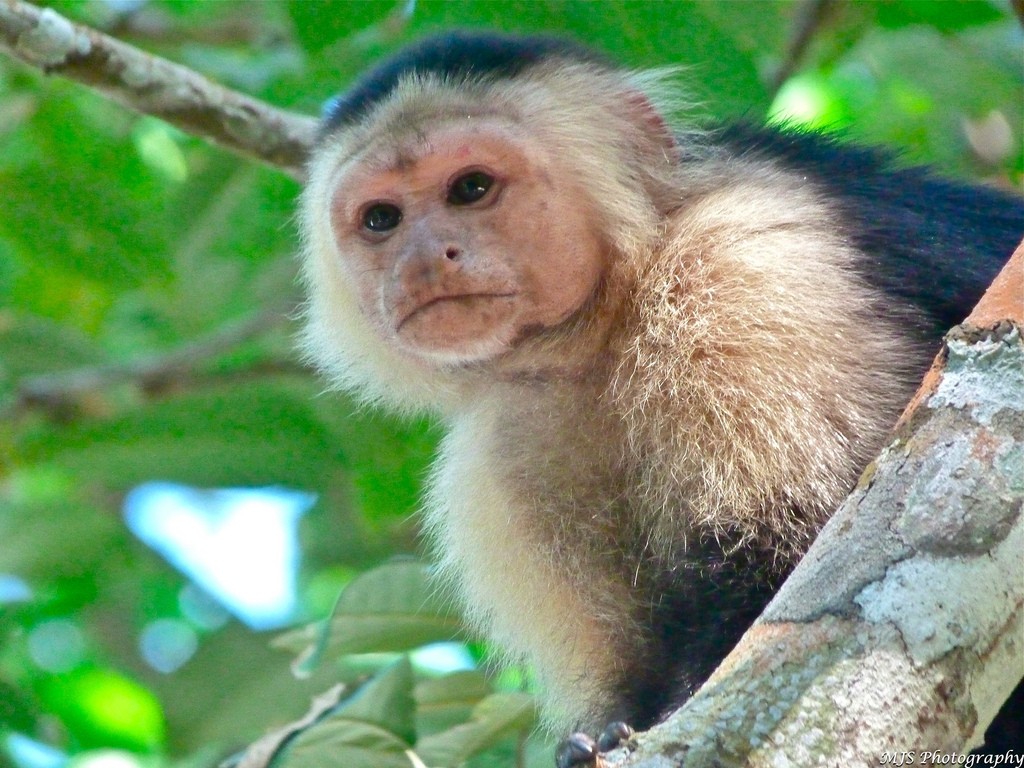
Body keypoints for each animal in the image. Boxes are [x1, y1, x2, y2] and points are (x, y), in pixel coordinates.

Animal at [296, 33, 1024, 765]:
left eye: (471, 187)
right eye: (381, 219)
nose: (423, 260)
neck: (607, 316)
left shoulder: (746, 262)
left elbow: (793, 543)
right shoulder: (510, 442)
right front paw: (598, 735)